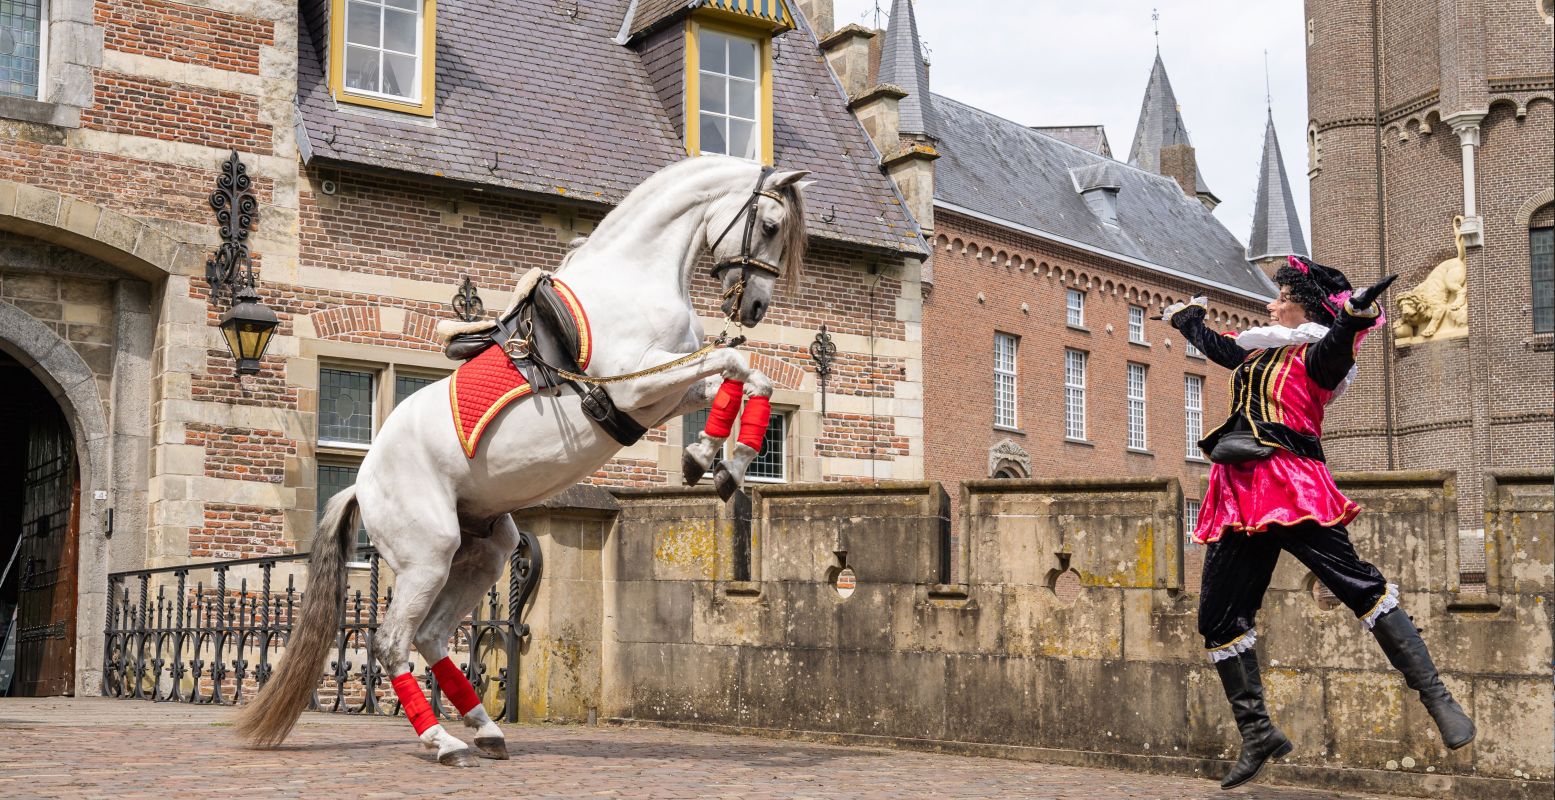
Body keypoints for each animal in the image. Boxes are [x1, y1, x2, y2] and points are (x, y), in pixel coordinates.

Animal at [239, 154, 814, 759]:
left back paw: (486, 729)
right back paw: (443, 740)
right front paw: (713, 458)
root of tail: (361, 482)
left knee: (432, 636)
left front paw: (719, 460)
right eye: (771, 225)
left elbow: (748, 378)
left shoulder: (663, 393)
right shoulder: (635, 386)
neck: (633, 277)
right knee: (394, 641)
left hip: (483, 554)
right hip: (428, 556)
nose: (755, 306)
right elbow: (733, 360)